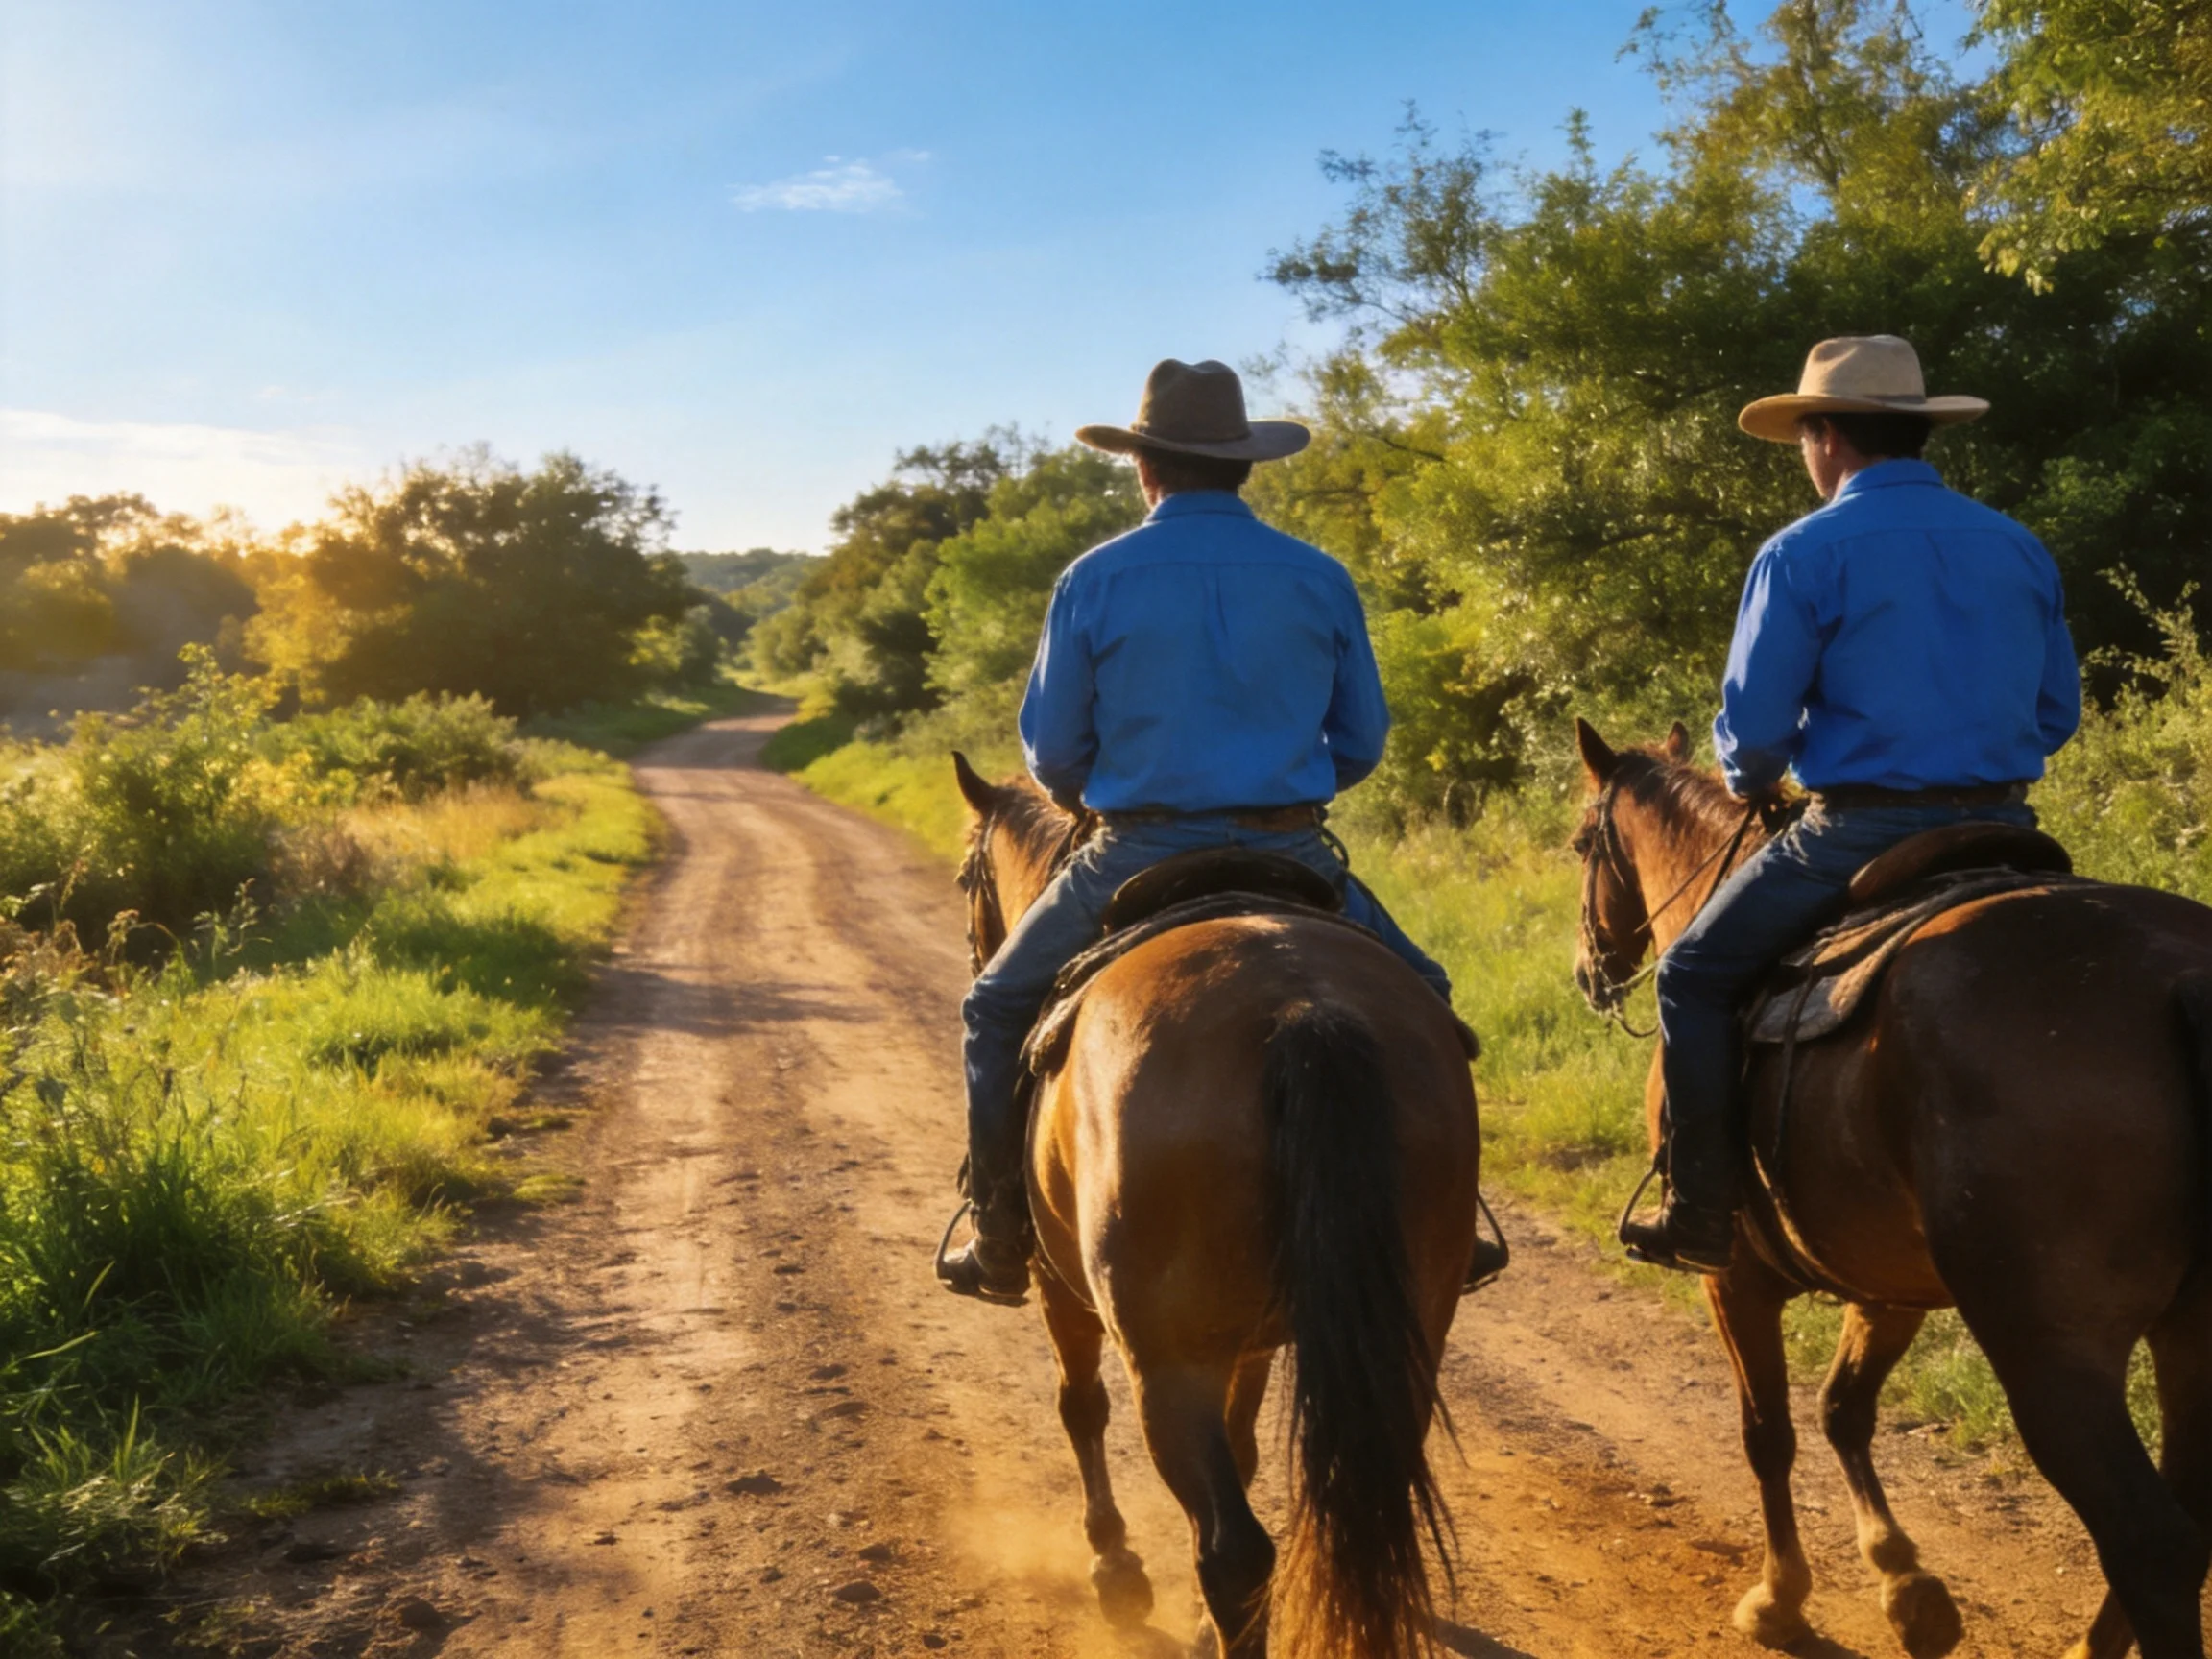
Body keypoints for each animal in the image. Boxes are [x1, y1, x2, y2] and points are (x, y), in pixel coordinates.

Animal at [950, 757, 1483, 1659]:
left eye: (964, 878)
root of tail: (1304, 1013)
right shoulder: (1257, 1337)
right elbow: (1243, 1444)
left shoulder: (1063, 1288)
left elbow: (1080, 1406)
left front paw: (1115, 1569)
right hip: (1410, 1330)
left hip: (1170, 1359)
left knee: (1232, 1551)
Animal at [1569, 717, 2212, 1659]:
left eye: (1583, 843)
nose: (1590, 971)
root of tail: (2180, 981)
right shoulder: (1888, 1284)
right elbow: (1844, 1409)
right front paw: (1907, 1586)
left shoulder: (1733, 1277)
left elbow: (1768, 1433)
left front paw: (1781, 1597)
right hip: (2188, 1336)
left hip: (2054, 1354)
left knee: (2151, 1540)